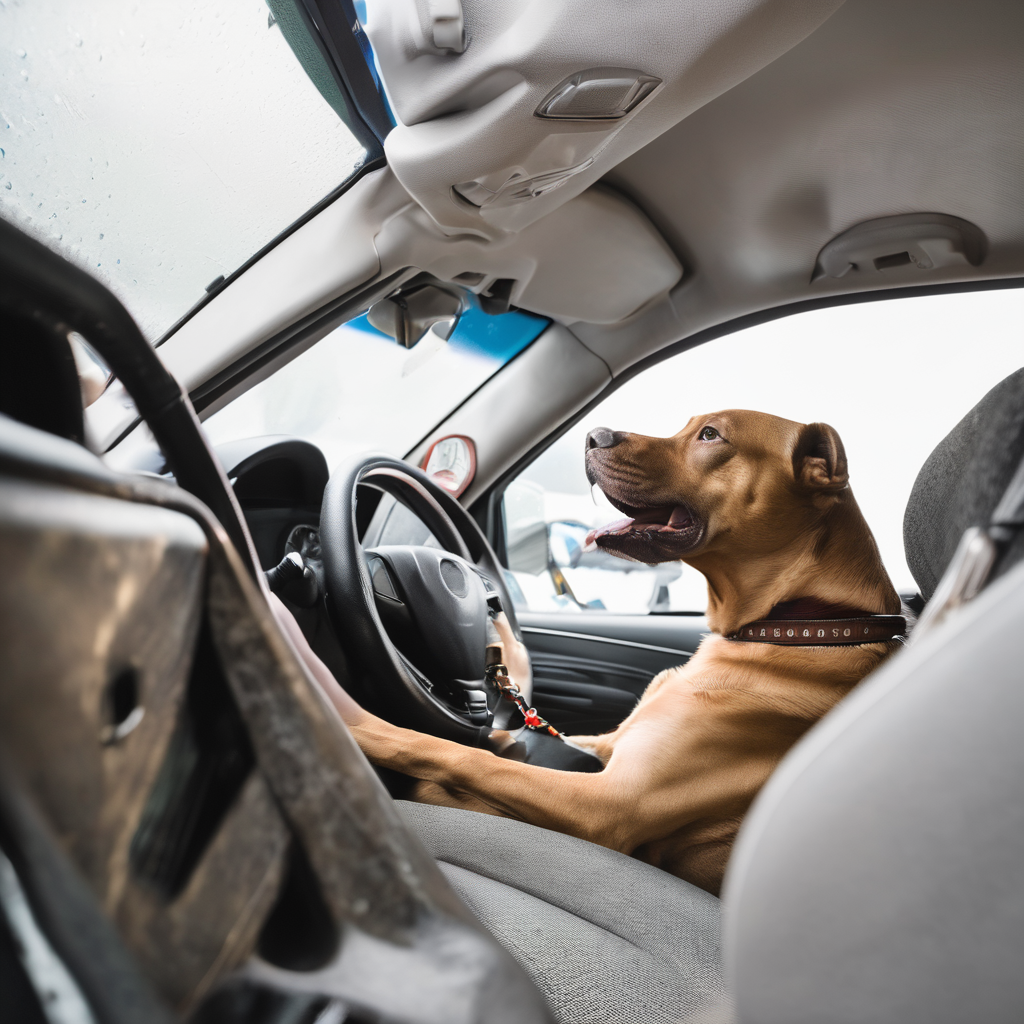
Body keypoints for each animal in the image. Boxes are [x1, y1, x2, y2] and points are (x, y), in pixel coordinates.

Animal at [282, 411, 905, 892]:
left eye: (711, 435)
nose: (594, 435)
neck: (793, 624)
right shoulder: (607, 746)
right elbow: (505, 747)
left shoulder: (608, 803)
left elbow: (461, 755)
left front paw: (353, 723)